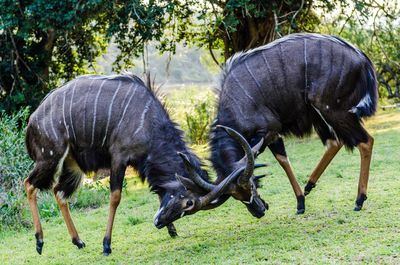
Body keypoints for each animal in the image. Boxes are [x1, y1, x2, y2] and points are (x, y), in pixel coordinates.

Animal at [208, 32, 376, 214]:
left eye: (250, 185)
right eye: (235, 195)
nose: (259, 211)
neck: (234, 106)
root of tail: (362, 59)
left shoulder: (270, 130)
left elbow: (281, 160)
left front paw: (300, 202)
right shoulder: (271, 135)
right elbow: (282, 159)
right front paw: (301, 201)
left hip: (332, 110)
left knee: (365, 141)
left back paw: (359, 199)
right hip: (318, 114)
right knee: (335, 142)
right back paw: (309, 185)